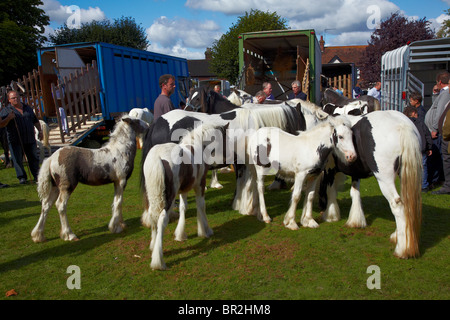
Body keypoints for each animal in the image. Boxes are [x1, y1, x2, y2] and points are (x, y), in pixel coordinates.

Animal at [316, 111, 422, 258]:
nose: (320, 206)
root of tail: (403, 126)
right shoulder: (355, 172)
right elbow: (354, 193)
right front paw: (356, 221)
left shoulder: (330, 169)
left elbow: (330, 191)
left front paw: (331, 216)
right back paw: (398, 236)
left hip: (385, 180)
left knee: (397, 205)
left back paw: (403, 249)